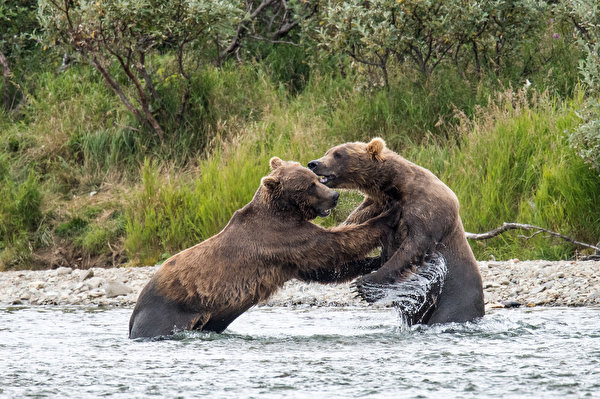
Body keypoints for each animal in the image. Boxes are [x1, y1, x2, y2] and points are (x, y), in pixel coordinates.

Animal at [128, 158, 396, 340]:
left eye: (316, 179)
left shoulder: (291, 259)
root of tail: (134, 312)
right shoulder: (281, 238)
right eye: (309, 185)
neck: (284, 210)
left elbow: (322, 269)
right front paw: (386, 216)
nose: (335, 195)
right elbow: (332, 246)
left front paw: (376, 261)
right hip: (168, 313)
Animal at [308, 139, 486, 326]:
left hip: (455, 299)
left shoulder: (428, 210)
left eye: (338, 154)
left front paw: (365, 284)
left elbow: (413, 247)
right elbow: (350, 230)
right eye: (328, 152)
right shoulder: (374, 206)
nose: (314, 163)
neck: (395, 188)